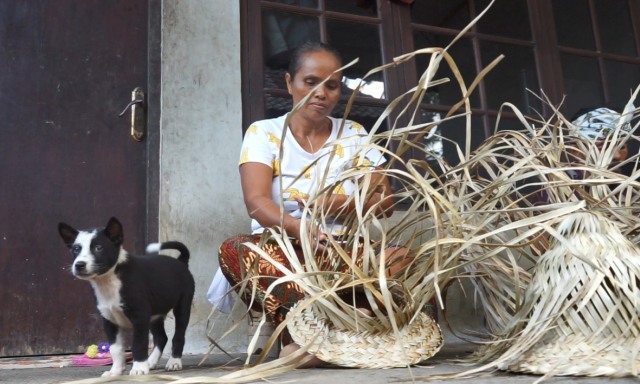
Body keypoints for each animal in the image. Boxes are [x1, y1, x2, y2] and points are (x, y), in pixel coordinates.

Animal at [59, 218, 195, 376]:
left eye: (98, 248)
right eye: (76, 249)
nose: (79, 265)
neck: (108, 281)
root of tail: (181, 261)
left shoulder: (140, 317)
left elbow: (138, 344)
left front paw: (139, 368)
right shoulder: (109, 320)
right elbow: (116, 349)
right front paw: (115, 371)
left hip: (183, 306)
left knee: (178, 336)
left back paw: (174, 362)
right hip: (155, 314)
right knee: (161, 337)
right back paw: (151, 362)